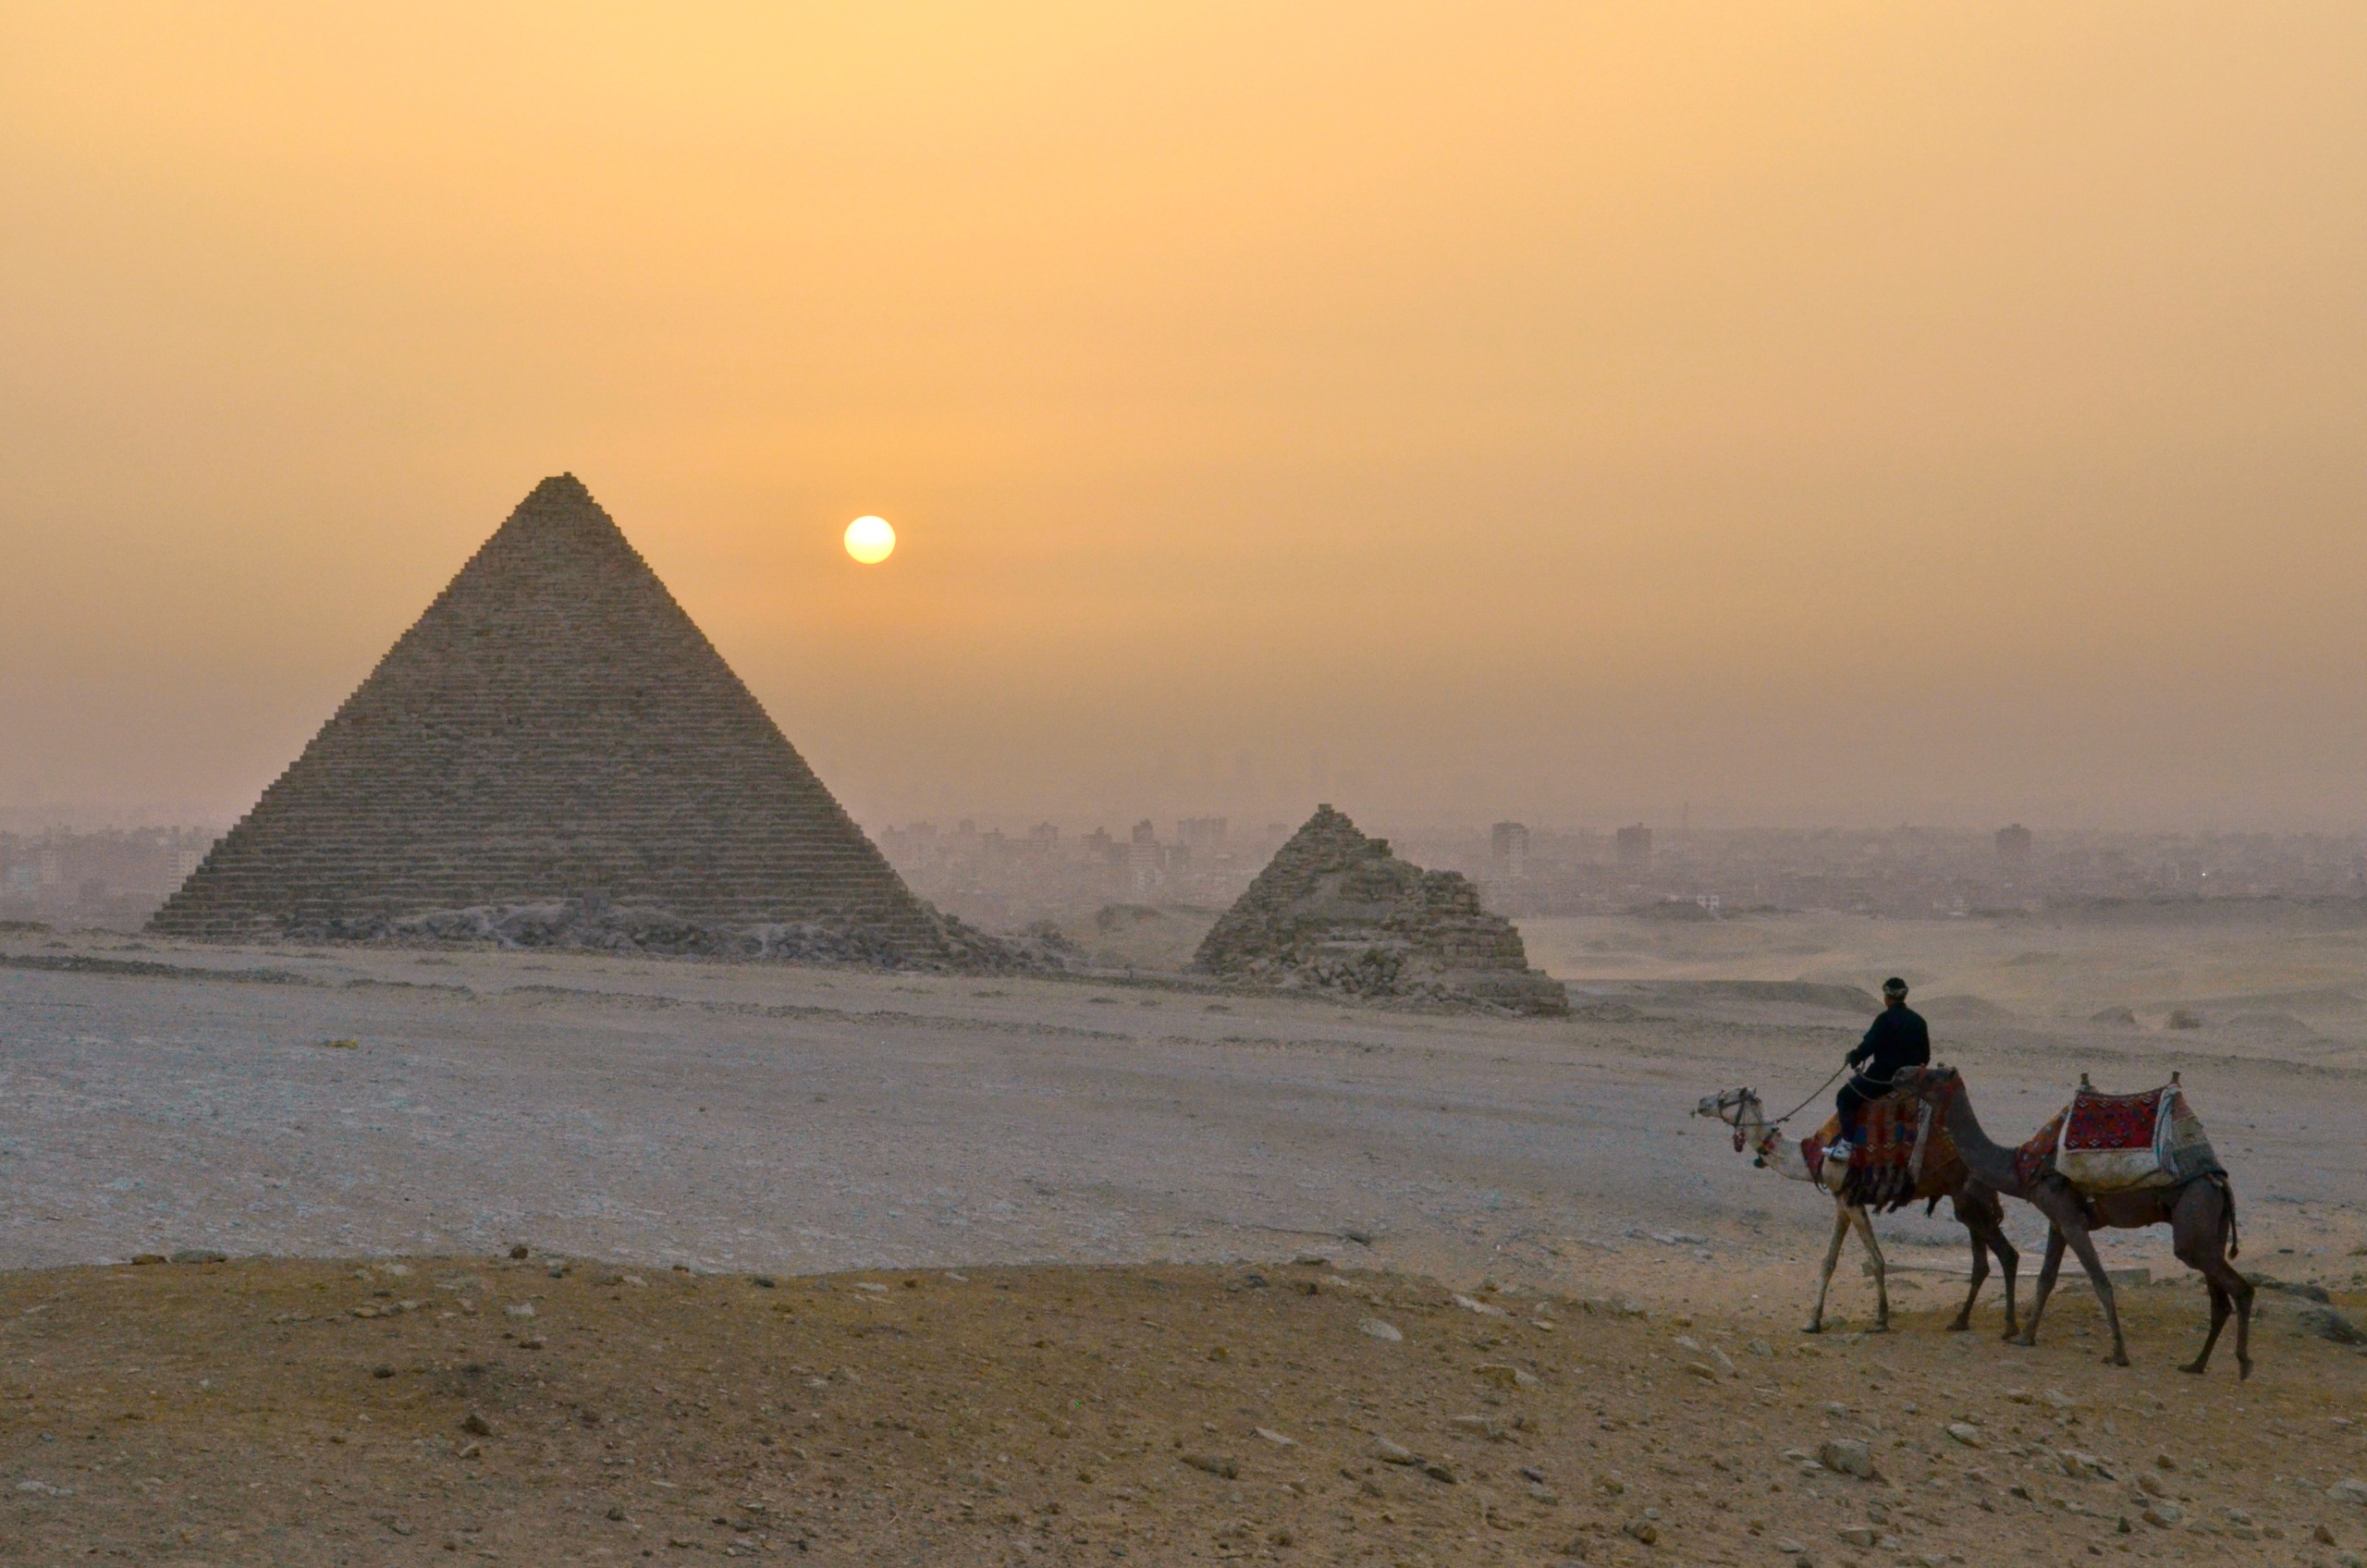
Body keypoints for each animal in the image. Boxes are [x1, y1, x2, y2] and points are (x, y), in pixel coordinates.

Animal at [1694, 1094, 2026, 1335]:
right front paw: (1812, 1322)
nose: (1701, 1103)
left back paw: (2010, 1328)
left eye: (1725, 1097)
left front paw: (1880, 1320)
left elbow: (1876, 1259)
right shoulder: (1841, 1200)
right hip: (1965, 1199)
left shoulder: (1851, 1199)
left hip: (1969, 1195)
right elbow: (1828, 1262)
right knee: (1982, 1261)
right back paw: (1960, 1320)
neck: (1812, 1154)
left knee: (2006, 1254)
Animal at [1883, 1060, 2253, 1383]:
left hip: (2194, 1215)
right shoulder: (2057, 1219)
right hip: (2211, 1223)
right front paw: (2026, 1336)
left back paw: (2243, 1364)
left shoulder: (2070, 1219)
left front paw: (2118, 1354)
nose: (1899, 1073)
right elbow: (2045, 1278)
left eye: (1932, 1076)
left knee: (2238, 1287)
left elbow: (2100, 1281)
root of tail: (2219, 1181)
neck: (2022, 1166)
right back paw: (2196, 1364)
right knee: (2219, 1300)